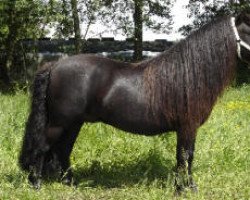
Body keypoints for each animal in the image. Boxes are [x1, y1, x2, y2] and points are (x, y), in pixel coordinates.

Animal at [19, 13, 250, 191]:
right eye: (249, 31)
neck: (188, 74)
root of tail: (54, 65)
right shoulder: (187, 127)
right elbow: (185, 158)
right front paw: (184, 188)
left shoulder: (187, 128)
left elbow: (185, 158)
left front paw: (185, 186)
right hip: (59, 123)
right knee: (42, 147)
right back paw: (36, 184)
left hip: (73, 124)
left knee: (62, 150)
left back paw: (71, 183)